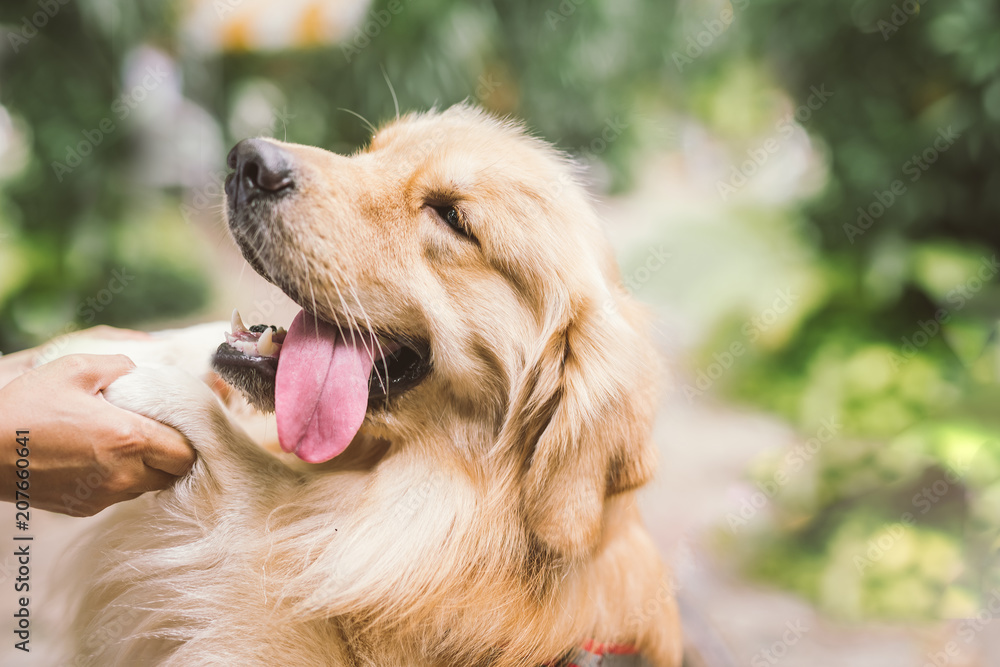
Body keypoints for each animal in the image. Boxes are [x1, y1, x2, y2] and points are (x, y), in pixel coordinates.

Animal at [62, 104, 684, 667]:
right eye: (372, 152)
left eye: (451, 217)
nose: (249, 161)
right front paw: (147, 347)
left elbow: (259, 488)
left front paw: (159, 384)